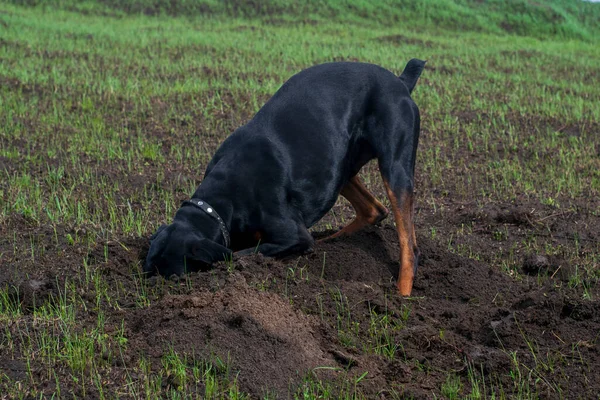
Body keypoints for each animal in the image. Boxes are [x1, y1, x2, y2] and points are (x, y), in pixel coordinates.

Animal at [144, 60, 426, 296]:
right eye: (147, 270)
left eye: (175, 278)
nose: (150, 287)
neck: (220, 202)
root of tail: (400, 82)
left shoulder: (293, 236)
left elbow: (244, 254)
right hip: (339, 165)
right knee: (374, 210)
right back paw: (331, 242)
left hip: (394, 166)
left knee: (409, 246)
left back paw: (401, 296)